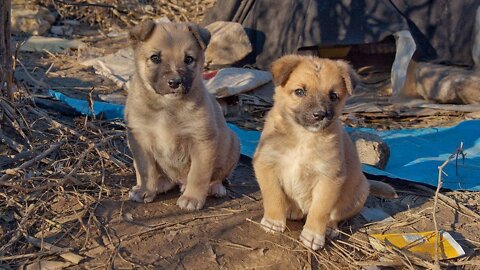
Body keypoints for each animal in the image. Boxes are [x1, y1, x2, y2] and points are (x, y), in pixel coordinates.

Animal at [124, 20, 240, 211]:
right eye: (155, 58)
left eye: (188, 59)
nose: (175, 82)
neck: (167, 106)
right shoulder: (140, 138)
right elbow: (146, 169)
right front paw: (145, 190)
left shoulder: (202, 140)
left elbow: (198, 174)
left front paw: (192, 198)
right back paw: (160, 184)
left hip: (233, 143)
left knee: (217, 176)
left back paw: (214, 188)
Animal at [253, 55, 396, 251]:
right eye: (299, 92)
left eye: (333, 96)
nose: (320, 115)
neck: (303, 138)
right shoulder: (266, 163)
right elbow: (273, 195)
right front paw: (273, 221)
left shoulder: (329, 177)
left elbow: (320, 210)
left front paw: (313, 235)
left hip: (358, 194)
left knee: (335, 216)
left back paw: (329, 228)